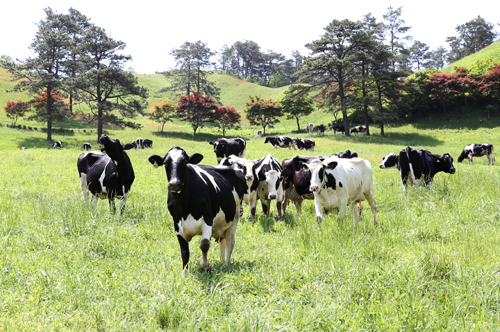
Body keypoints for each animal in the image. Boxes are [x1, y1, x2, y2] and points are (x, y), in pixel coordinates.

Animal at [147, 146, 247, 274]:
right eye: (165, 163)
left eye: (184, 162)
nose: (174, 184)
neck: (185, 206)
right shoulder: (177, 223)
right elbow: (184, 250)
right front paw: (184, 273)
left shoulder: (208, 218)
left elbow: (204, 244)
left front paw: (205, 266)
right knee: (222, 242)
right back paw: (221, 261)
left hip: (235, 216)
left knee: (230, 241)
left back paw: (226, 264)